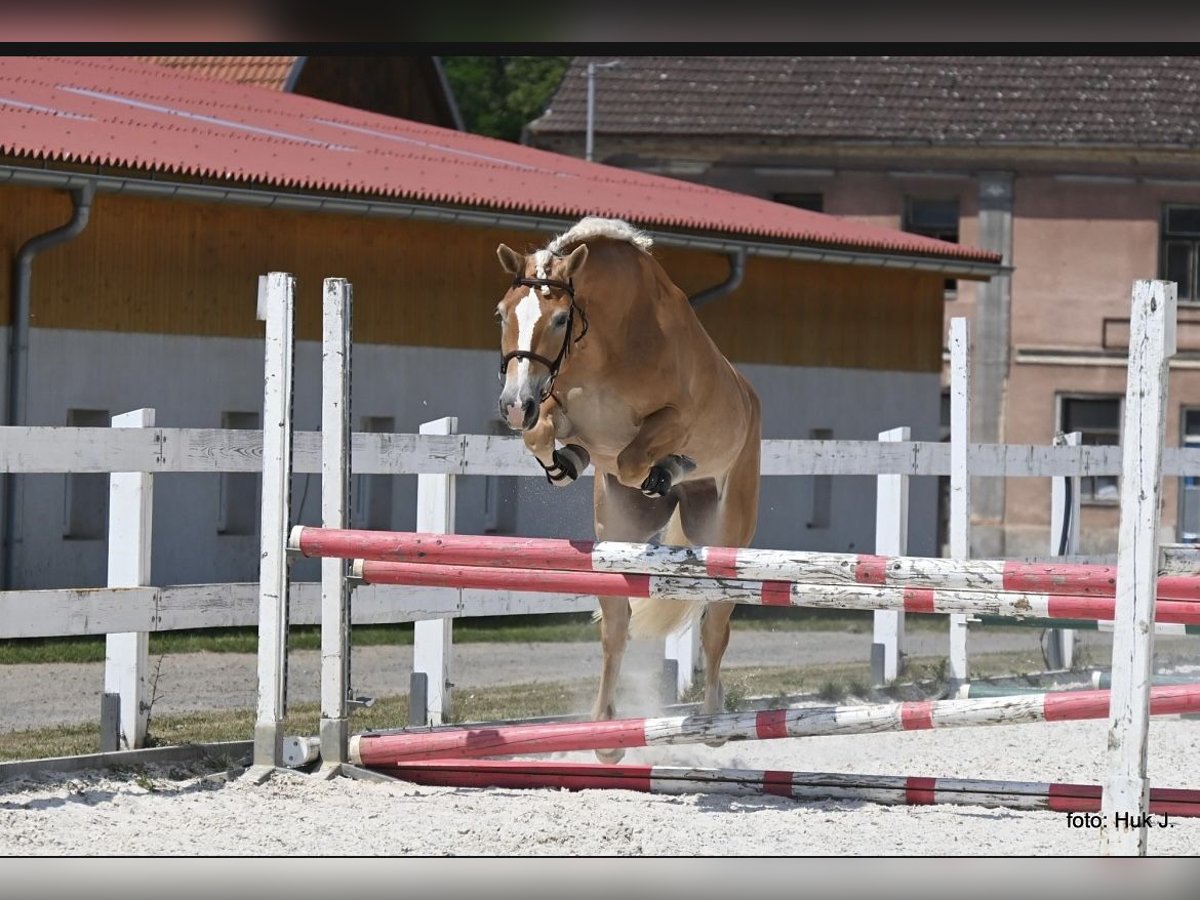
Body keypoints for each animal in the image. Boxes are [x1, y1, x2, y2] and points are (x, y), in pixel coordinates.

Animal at [494, 214, 758, 763]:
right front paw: (566, 461)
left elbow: (634, 457)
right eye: (501, 313)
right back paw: (605, 735)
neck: (606, 342)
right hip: (617, 535)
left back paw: (714, 721)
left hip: (724, 538)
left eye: (558, 320)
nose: (511, 404)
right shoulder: (555, 406)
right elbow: (544, 434)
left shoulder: (674, 419)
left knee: (714, 627)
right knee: (616, 628)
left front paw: (665, 468)